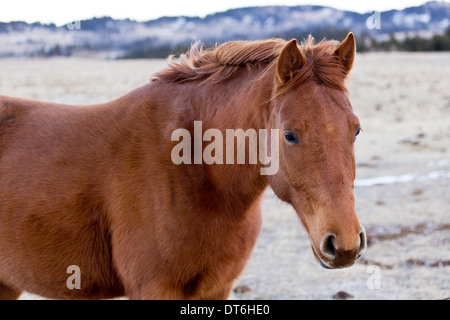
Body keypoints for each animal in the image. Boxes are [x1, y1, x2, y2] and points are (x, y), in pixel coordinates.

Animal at [0, 33, 366, 300]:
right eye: (289, 134)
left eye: (356, 130)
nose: (345, 243)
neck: (193, 170)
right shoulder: (153, 288)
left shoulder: (217, 287)